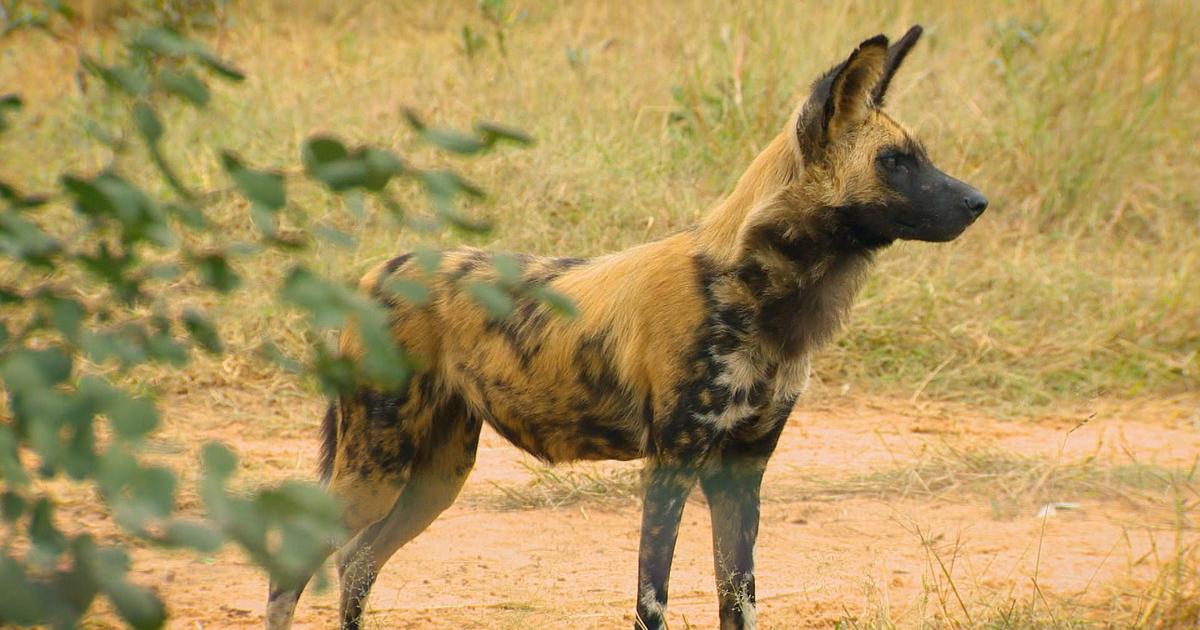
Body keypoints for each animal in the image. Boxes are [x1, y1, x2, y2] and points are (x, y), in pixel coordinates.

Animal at [267, 24, 988, 628]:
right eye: (895, 161)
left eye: (920, 156)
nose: (979, 201)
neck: (760, 291)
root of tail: (376, 272)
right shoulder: (672, 462)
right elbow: (653, 599)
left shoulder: (742, 470)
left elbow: (738, 599)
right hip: (377, 467)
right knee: (292, 572)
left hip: (436, 476)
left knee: (357, 563)